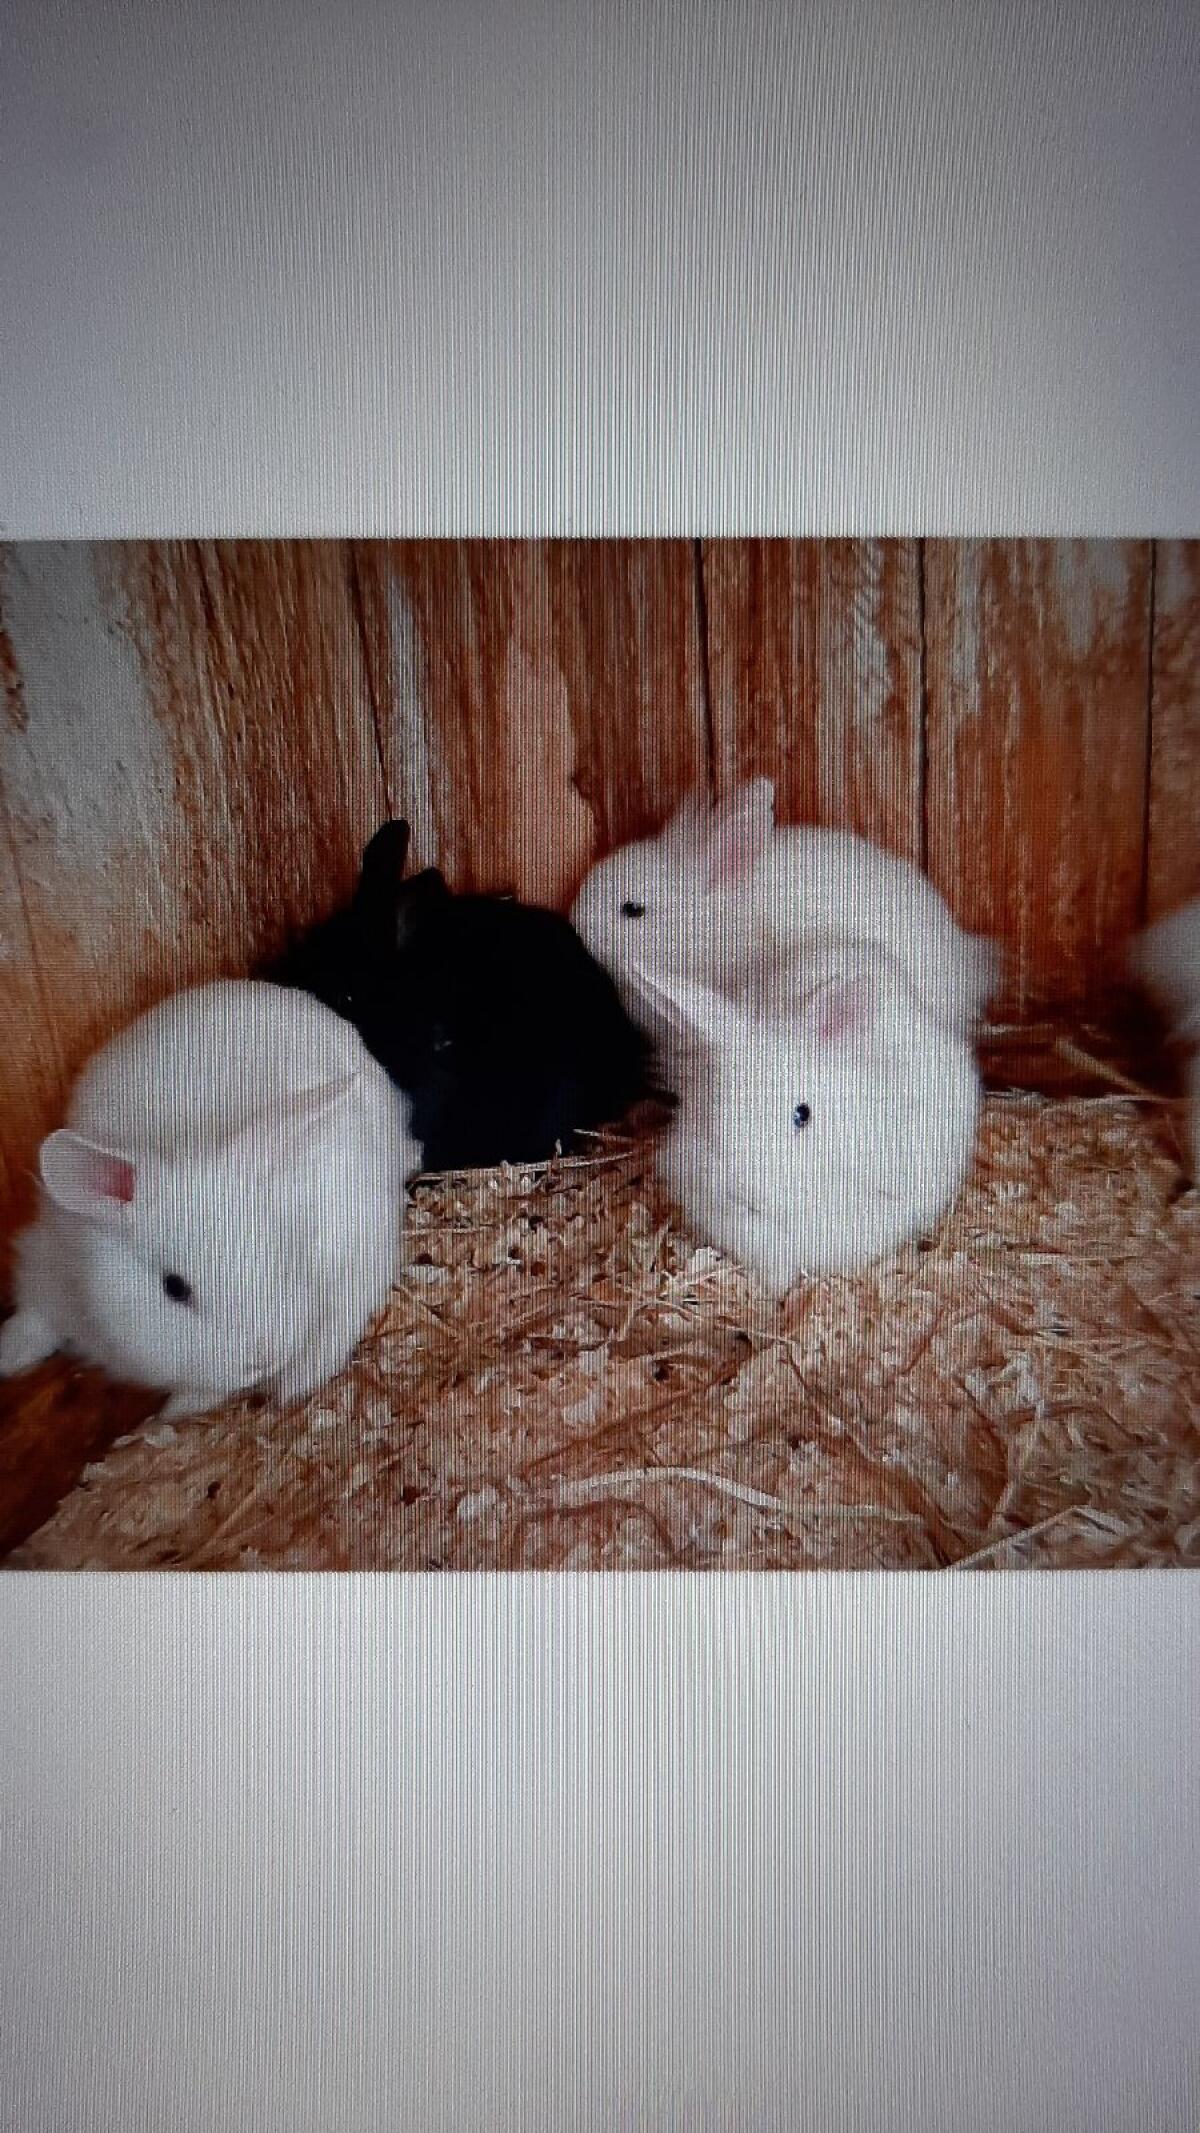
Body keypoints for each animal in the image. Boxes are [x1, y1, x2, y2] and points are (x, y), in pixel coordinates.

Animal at [0, 979, 418, 1418]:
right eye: (174, 1288)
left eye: (278, 1252)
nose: (262, 1358)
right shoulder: (49, 1261)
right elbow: (36, 1316)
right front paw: (8, 1357)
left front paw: (175, 1412)